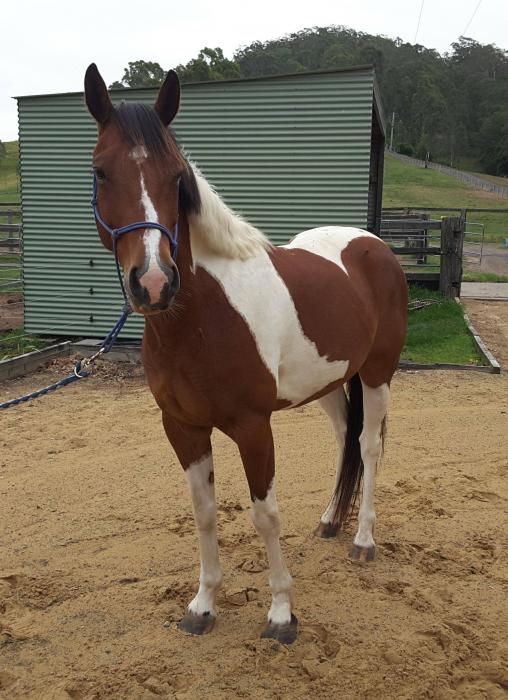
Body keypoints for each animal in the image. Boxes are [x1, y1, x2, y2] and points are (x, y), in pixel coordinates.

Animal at [84, 64, 407, 645]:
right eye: (100, 172)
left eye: (178, 176)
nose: (154, 283)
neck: (201, 317)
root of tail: (372, 245)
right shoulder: (183, 427)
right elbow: (205, 512)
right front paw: (203, 604)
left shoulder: (254, 427)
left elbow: (265, 514)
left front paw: (281, 613)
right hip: (327, 384)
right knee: (344, 439)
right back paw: (331, 520)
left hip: (377, 374)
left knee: (369, 446)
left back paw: (363, 541)